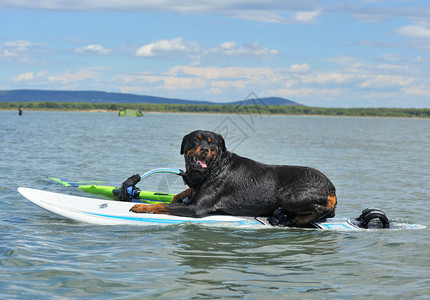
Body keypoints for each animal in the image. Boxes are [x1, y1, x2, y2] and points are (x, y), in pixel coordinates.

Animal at [129, 130, 338, 226]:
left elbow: (163, 205)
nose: (205, 150)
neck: (213, 168)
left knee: (324, 210)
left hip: (290, 197)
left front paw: (141, 206)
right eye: (195, 140)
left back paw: (294, 218)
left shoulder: (197, 209)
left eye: (212, 144)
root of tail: (331, 189)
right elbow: (180, 194)